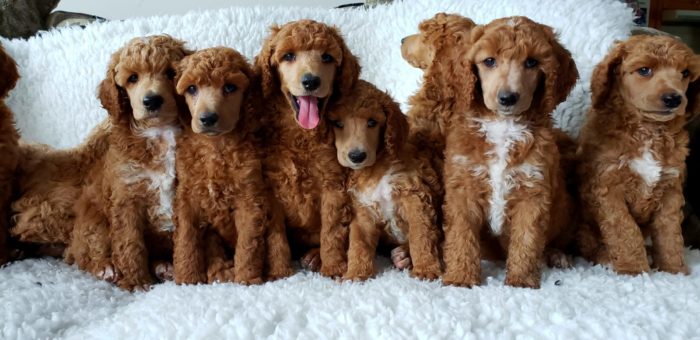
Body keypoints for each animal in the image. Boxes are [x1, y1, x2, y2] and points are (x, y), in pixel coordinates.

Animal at [173, 47, 292, 284]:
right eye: (191, 88)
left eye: (229, 87)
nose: (208, 118)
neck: (215, 146)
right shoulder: (186, 196)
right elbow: (186, 238)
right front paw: (186, 278)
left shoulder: (249, 200)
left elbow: (248, 245)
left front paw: (246, 279)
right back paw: (220, 272)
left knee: (277, 241)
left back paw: (278, 273)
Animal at [254, 19, 358, 276]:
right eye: (288, 56)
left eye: (327, 57)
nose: (311, 81)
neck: (301, 135)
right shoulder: (270, 187)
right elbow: (276, 236)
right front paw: (279, 272)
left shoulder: (333, 186)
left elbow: (331, 231)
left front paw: (333, 267)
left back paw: (314, 257)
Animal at [442, 15, 580, 286]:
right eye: (489, 61)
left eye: (532, 62)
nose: (508, 98)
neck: (502, 125)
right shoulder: (463, 187)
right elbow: (461, 235)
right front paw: (460, 277)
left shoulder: (533, 189)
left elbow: (526, 239)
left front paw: (521, 281)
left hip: (566, 212)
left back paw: (557, 255)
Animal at [576, 34, 700, 274]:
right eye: (644, 70)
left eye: (685, 73)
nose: (674, 98)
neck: (648, 129)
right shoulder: (607, 185)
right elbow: (624, 228)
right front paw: (633, 269)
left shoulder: (670, 187)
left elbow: (669, 231)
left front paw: (673, 269)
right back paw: (606, 257)